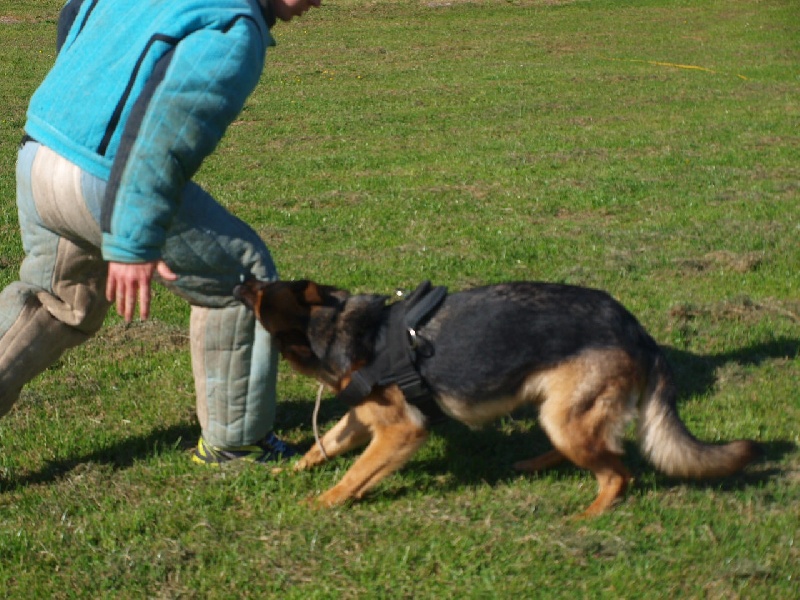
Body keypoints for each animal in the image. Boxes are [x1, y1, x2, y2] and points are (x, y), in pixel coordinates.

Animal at [231, 278, 756, 512]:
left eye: (259, 292)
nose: (240, 279)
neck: (340, 326)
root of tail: (636, 330)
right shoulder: (364, 419)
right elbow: (324, 446)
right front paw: (288, 471)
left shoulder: (401, 433)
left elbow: (355, 474)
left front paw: (321, 503)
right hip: (558, 413)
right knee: (597, 452)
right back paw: (534, 465)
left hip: (569, 419)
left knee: (618, 471)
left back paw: (590, 516)